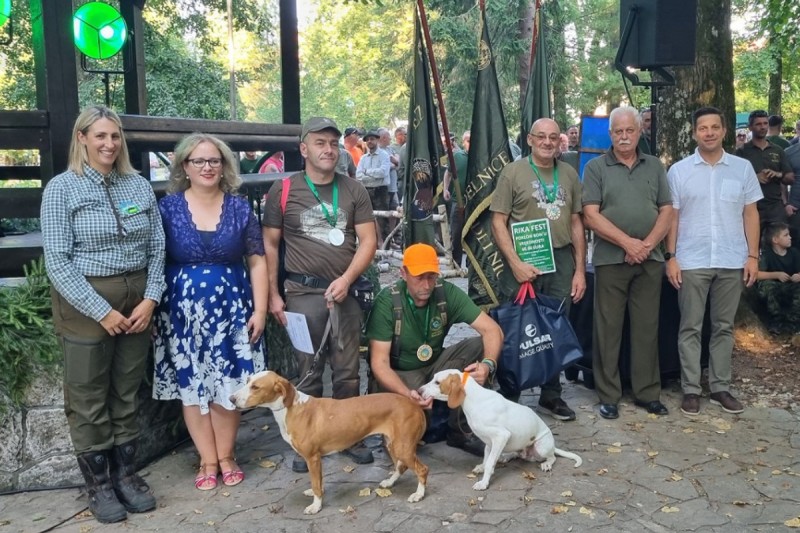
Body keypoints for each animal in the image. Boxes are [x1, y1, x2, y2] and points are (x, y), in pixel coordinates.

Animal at [228, 370, 428, 512]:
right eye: (247, 382)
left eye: (255, 387)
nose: (231, 399)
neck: (291, 407)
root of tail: (414, 405)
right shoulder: (316, 459)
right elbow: (318, 481)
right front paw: (318, 494)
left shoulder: (312, 457)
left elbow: (316, 483)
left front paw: (316, 506)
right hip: (393, 444)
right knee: (401, 466)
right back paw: (390, 483)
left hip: (402, 447)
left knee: (422, 469)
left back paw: (418, 495)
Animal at [418, 368, 580, 488]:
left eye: (437, 382)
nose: (418, 391)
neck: (474, 399)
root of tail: (552, 446)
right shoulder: (489, 442)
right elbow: (486, 457)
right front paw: (483, 467)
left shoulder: (500, 436)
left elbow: (490, 462)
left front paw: (484, 483)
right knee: (516, 454)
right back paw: (506, 456)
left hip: (541, 447)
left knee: (552, 457)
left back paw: (546, 463)